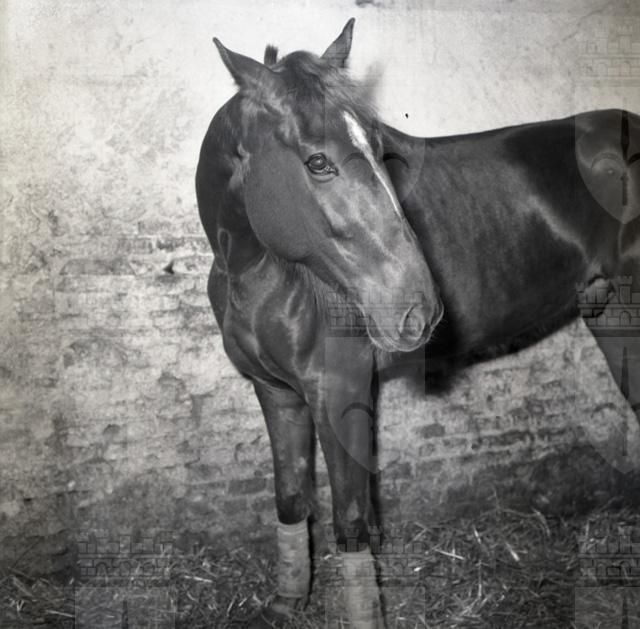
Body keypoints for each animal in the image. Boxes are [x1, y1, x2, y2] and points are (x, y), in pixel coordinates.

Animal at [196, 18, 640, 628]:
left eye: (382, 150)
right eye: (317, 162)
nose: (418, 309)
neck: (261, 274)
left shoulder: (340, 393)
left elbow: (352, 522)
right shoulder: (276, 392)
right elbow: (290, 496)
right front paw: (288, 601)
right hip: (612, 319)